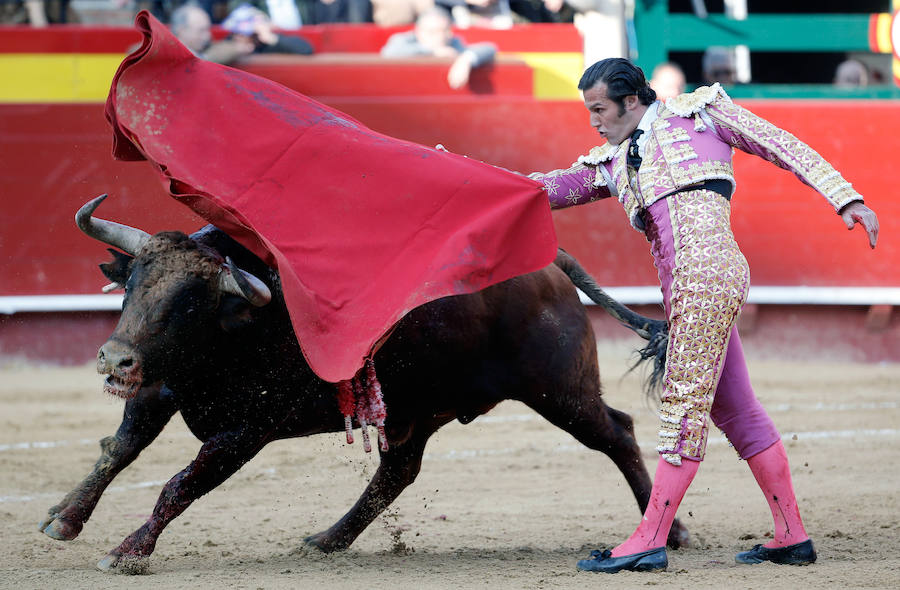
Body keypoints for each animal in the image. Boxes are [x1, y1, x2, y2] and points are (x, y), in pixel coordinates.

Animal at [37, 198, 684, 572]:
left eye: (191, 302)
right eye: (132, 283)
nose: (114, 359)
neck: (237, 331)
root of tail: (550, 265)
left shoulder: (245, 431)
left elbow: (180, 483)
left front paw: (128, 551)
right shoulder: (157, 391)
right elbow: (118, 451)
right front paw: (63, 519)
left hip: (560, 392)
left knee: (618, 433)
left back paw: (666, 534)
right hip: (419, 408)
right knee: (398, 472)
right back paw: (328, 539)